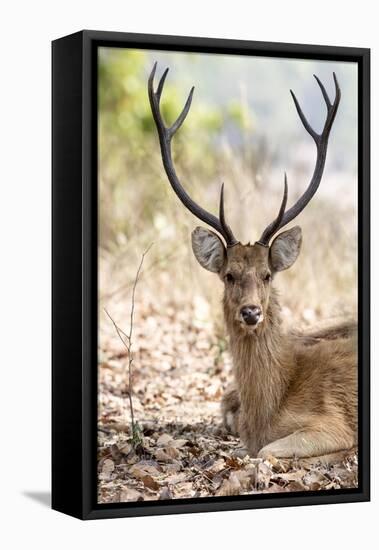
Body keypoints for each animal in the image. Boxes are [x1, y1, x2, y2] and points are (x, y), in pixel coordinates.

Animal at [147, 63, 358, 462]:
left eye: (267, 274)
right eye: (229, 275)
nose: (250, 312)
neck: (267, 412)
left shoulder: (332, 421)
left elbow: (266, 452)